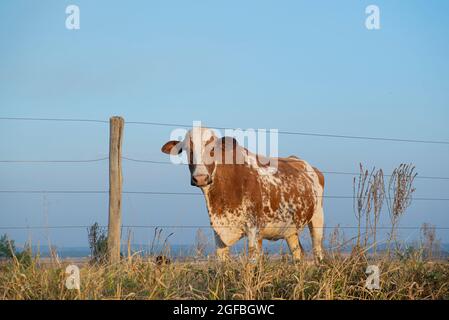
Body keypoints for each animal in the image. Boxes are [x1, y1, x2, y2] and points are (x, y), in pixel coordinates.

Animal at [163, 126, 324, 262]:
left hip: (317, 218)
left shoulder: (254, 231)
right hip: (290, 229)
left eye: (213, 149)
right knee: (297, 254)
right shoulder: (219, 233)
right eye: (186, 150)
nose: (200, 177)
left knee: (318, 251)